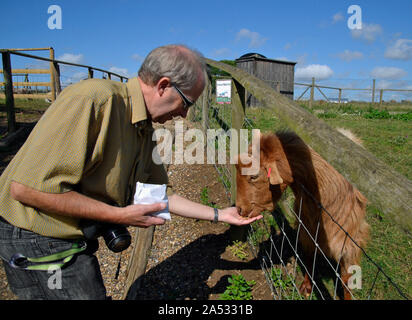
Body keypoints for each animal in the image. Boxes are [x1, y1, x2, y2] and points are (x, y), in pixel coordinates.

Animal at [235, 131, 370, 300]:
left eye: (254, 176)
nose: (240, 209)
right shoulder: (308, 231)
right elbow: (310, 258)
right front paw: (306, 286)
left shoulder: (348, 245)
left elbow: (346, 279)